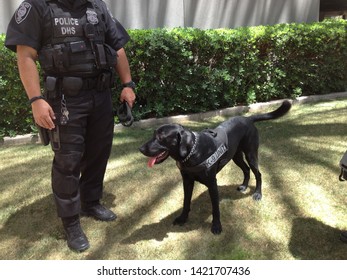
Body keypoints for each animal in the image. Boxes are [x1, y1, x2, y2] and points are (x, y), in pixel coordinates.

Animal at [140, 100, 292, 234]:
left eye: (161, 137)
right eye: (153, 134)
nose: (140, 149)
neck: (193, 151)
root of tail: (248, 119)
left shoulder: (212, 183)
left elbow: (215, 208)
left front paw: (217, 226)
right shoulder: (187, 181)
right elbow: (186, 201)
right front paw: (183, 218)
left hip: (251, 154)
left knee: (258, 173)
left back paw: (257, 194)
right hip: (236, 156)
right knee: (246, 170)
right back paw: (243, 186)